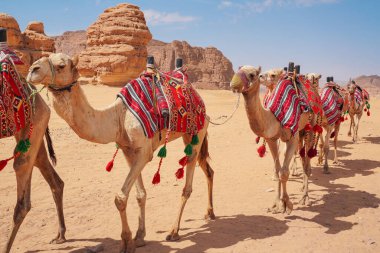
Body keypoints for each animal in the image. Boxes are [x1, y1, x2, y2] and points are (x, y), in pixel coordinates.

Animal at [26, 52, 215, 253]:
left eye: (61, 65)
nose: (32, 70)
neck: (118, 117)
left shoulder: (144, 152)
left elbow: (120, 198)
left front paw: (126, 242)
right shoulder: (127, 150)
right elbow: (140, 195)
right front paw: (139, 236)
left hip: (196, 132)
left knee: (187, 185)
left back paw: (174, 231)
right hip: (194, 136)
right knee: (208, 169)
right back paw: (210, 213)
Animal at [230, 64, 316, 211]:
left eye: (252, 74)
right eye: (238, 70)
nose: (234, 83)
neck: (275, 115)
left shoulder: (292, 137)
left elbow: (284, 172)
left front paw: (287, 204)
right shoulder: (271, 138)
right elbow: (277, 169)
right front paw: (277, 203)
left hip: (310, 126)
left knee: (307, 164)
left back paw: (305, 197)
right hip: (300, 132)